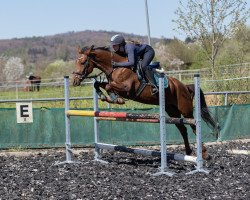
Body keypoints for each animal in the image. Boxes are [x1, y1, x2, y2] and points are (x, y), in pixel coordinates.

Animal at [72, 46, 219, 160]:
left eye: (83, 62)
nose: (74, 81)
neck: (115, 67)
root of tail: (184, 86)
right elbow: (99, 84)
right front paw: (104, 96)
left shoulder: (127, 88)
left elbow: (109, 86)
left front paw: (115, 98)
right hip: (172, 111)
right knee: (183, 129)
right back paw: (188, 152)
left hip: (186, 110)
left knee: (194, 127)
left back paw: (204, 154)